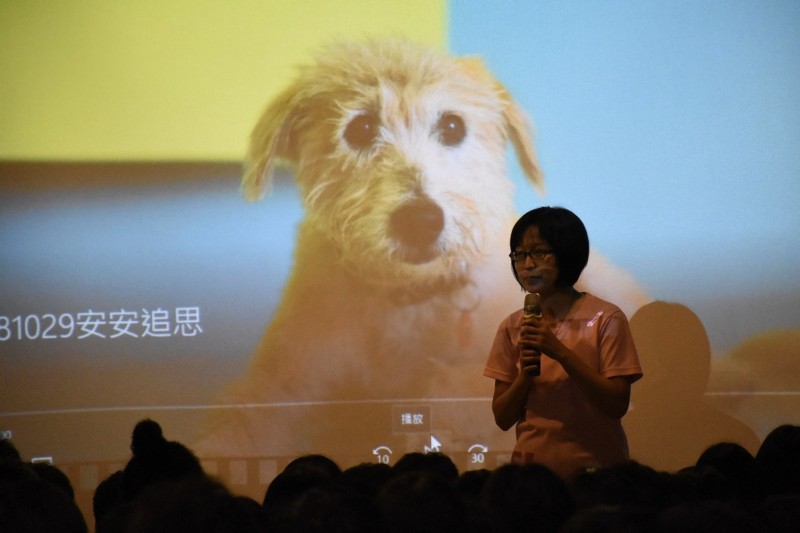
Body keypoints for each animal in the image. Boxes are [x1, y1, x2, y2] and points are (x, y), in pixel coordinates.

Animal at [197, 39, 648, 460]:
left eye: (452, 125)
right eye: (360, 128)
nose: (420, 220)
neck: (407, 299)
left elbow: (453, 394)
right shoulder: (285, 376)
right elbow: (242, 419)